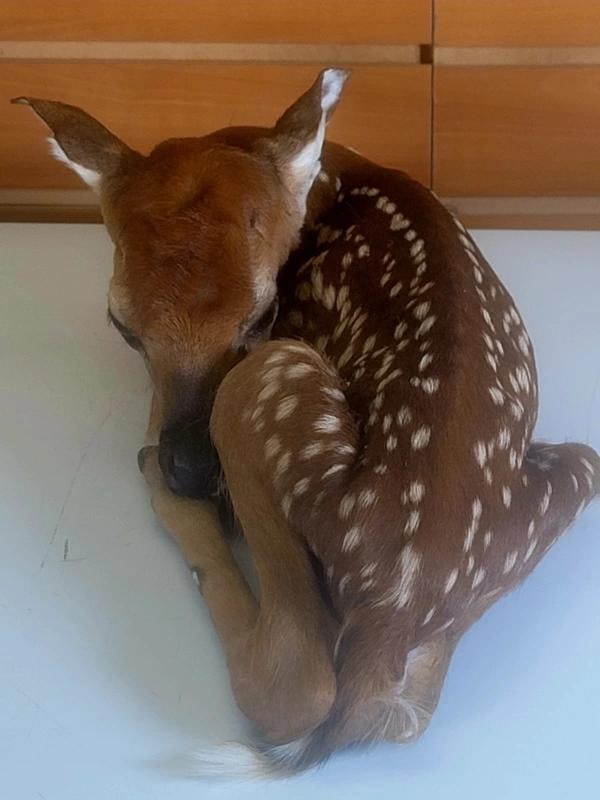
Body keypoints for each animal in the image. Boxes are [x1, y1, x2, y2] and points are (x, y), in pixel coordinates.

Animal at [13, 68, 600, 778]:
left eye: (262, 313)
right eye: (122, 326)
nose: (191, 469)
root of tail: (396, 604)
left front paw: (166, 464)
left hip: (272, 378)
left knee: (300, 685)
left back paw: (170, 497)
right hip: (579, 466)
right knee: (407, 716)